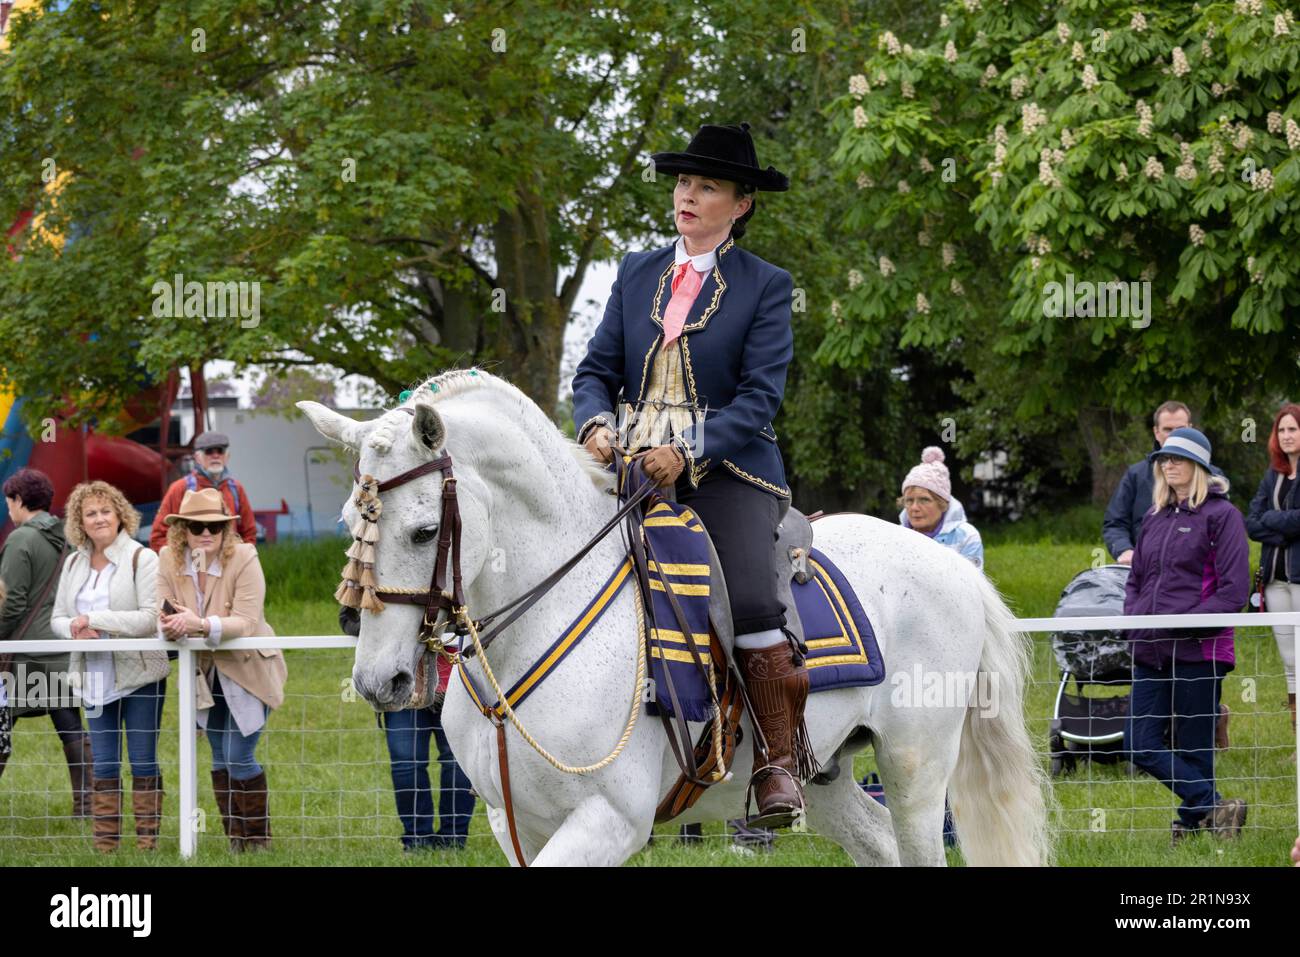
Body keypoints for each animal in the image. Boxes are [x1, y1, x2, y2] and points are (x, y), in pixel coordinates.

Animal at [299, 368, 1052, 866]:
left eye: (425, 531)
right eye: (350, 523)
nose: (380, 682)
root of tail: (952, 564)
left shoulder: (608, 820)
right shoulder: (513, 823)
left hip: (915, 767)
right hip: (828, 774)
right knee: (876, 841)